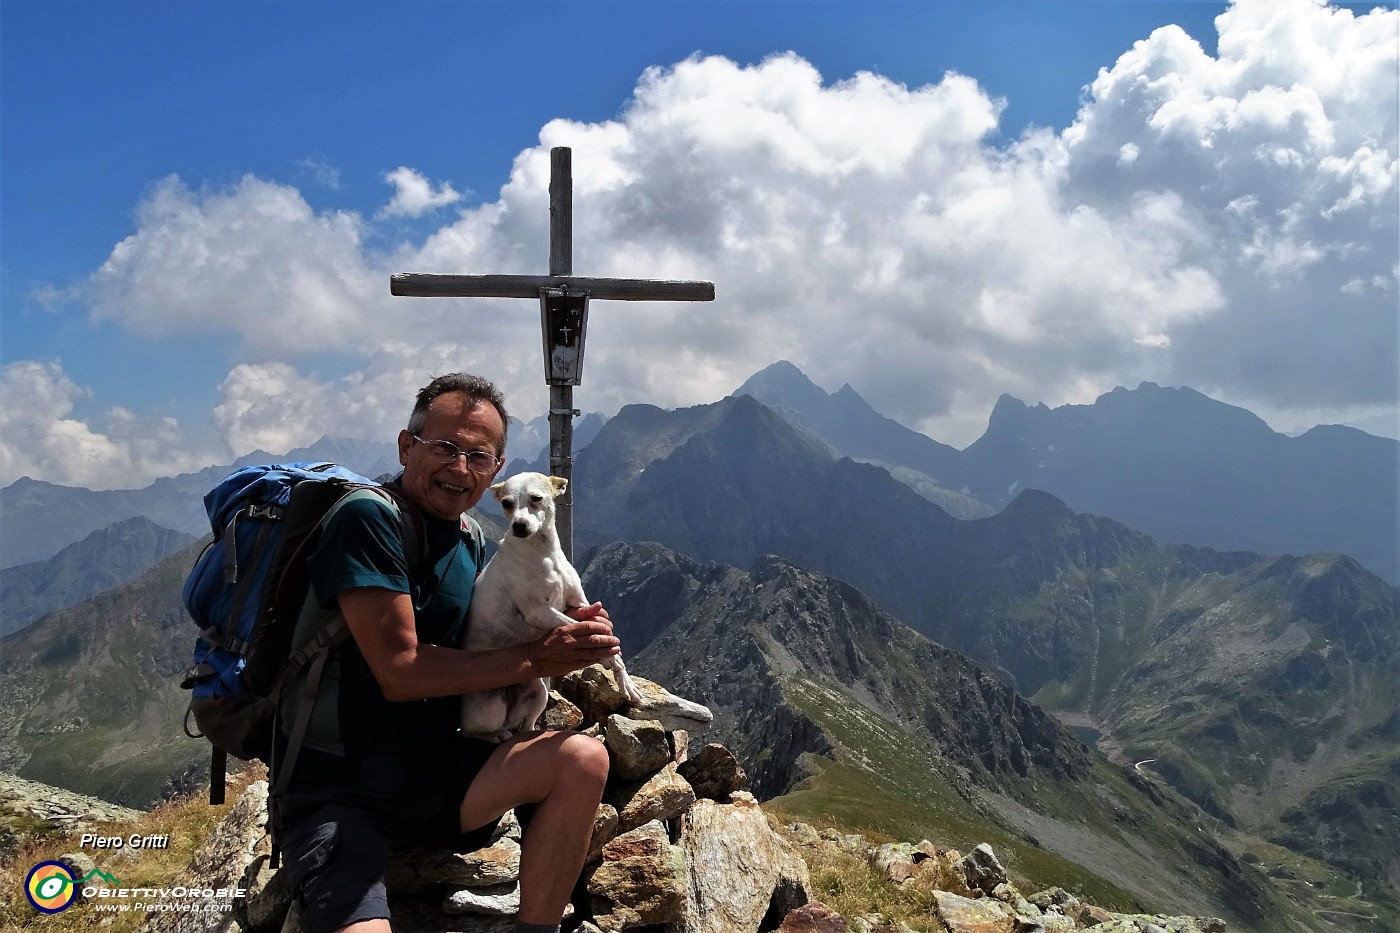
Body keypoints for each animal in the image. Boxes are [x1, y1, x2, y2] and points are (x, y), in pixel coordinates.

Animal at [462, 473, 641, 739]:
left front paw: (625, 681)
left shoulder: (580, 603)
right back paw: (496, 735)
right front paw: (607, 657)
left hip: (538, 693)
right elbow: (587, 631)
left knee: (525, 724)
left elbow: (602, 632)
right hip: (490, 708)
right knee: (472, 731)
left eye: (536, 498)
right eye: (506, 503)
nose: (519, 525)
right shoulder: (539, 612)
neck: (544, 552)